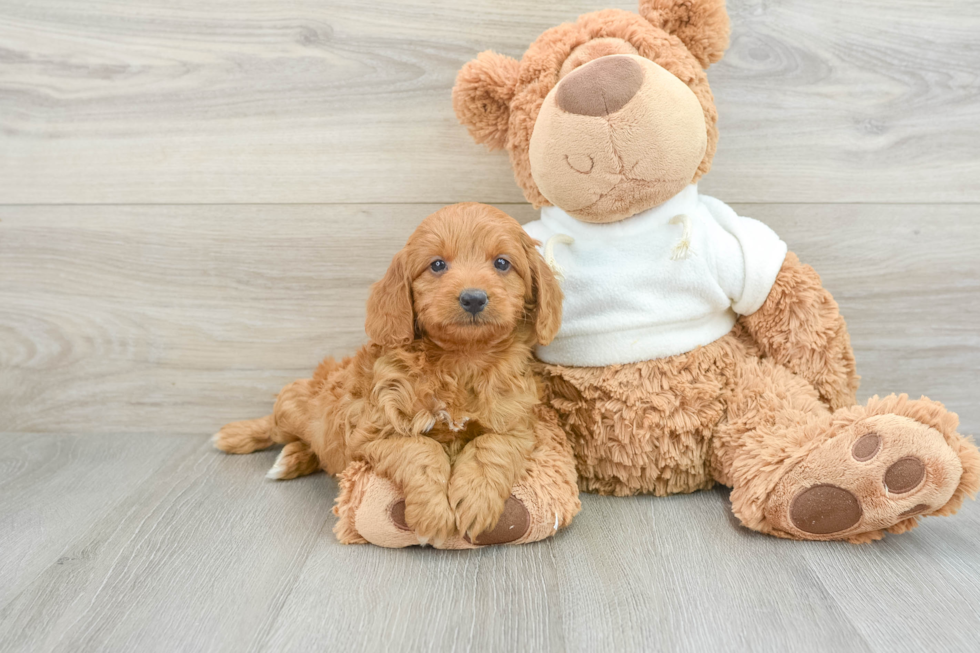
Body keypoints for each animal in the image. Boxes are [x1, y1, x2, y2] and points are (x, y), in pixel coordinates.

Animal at [211, 202, 572, 544]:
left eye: (502, 263)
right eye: (437, 265)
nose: (473, 298)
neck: (462, 358)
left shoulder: (516, 423)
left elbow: (491, 447)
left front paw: (475, 501)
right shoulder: (374, 429)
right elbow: (422, 450)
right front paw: (434, 515)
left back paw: (294, 458)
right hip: (296, 403)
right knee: (276, 425)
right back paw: (240, 436)